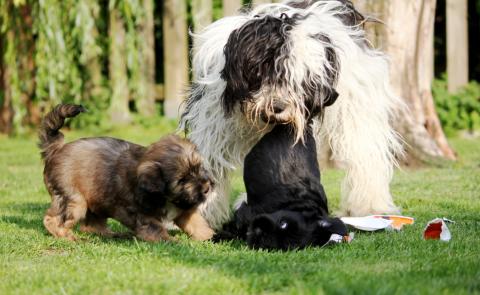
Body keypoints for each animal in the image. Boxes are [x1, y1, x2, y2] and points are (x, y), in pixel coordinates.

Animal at [38, 104, 215, 243]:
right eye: (182, 180)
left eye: (199, 168)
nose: (207, 188)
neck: (165, 197)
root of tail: (57, 149)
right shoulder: (143, 215)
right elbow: (156, 229)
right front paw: (172, 241)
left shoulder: (184, 209)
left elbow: (196, 223)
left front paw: (209, 236)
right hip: (73, 200)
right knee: (52, 219)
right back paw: (66, 236)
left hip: (95, 199)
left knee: (90, 225)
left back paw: (112, 234)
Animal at [182, 0, 404, 229]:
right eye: (263, 70)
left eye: (302, 82)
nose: (278, 107)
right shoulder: (214, 122)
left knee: (365, 153)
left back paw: (370, 206)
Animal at [213, 123, 344, 251]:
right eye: (283, 223)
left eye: (283, 246)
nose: (260, 232)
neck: (296, 204)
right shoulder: (246, 212)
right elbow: (235, 226)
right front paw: (218, 236)